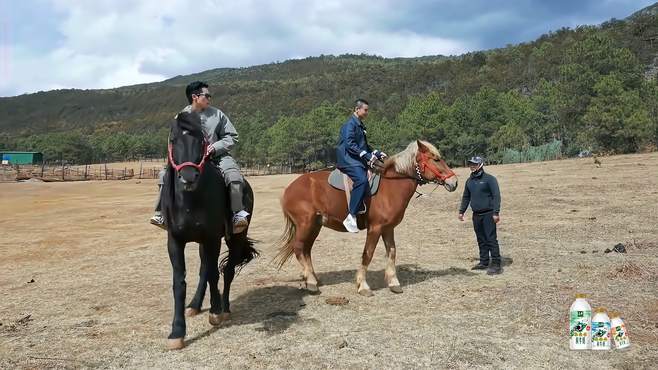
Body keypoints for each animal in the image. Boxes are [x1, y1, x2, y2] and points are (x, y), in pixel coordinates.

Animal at [160, 111, 258, 348]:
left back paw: (225, 307)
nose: (188, 177)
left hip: (234, 239)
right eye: (173, 139)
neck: (190, 201)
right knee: (204, 269)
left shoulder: (212, 238)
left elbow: (215, 273)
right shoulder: (175, 241)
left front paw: (215, 312)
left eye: (202, 141)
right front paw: (177, 332)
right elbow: (180, 282)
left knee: (227, 270)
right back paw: (195, 305)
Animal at [272, 140, 456, 296]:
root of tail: (289, 188)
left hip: (314, 226)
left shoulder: (388, 228)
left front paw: (394, 283)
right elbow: (368, 254)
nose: (454, 182)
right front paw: (363, 285)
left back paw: (314, 279)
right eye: (436, 159)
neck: (391, 186)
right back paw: (310, 282)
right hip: (305, 224)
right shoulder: (375, 228)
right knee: (298, 248)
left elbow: (392, 252)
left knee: (306, 250)